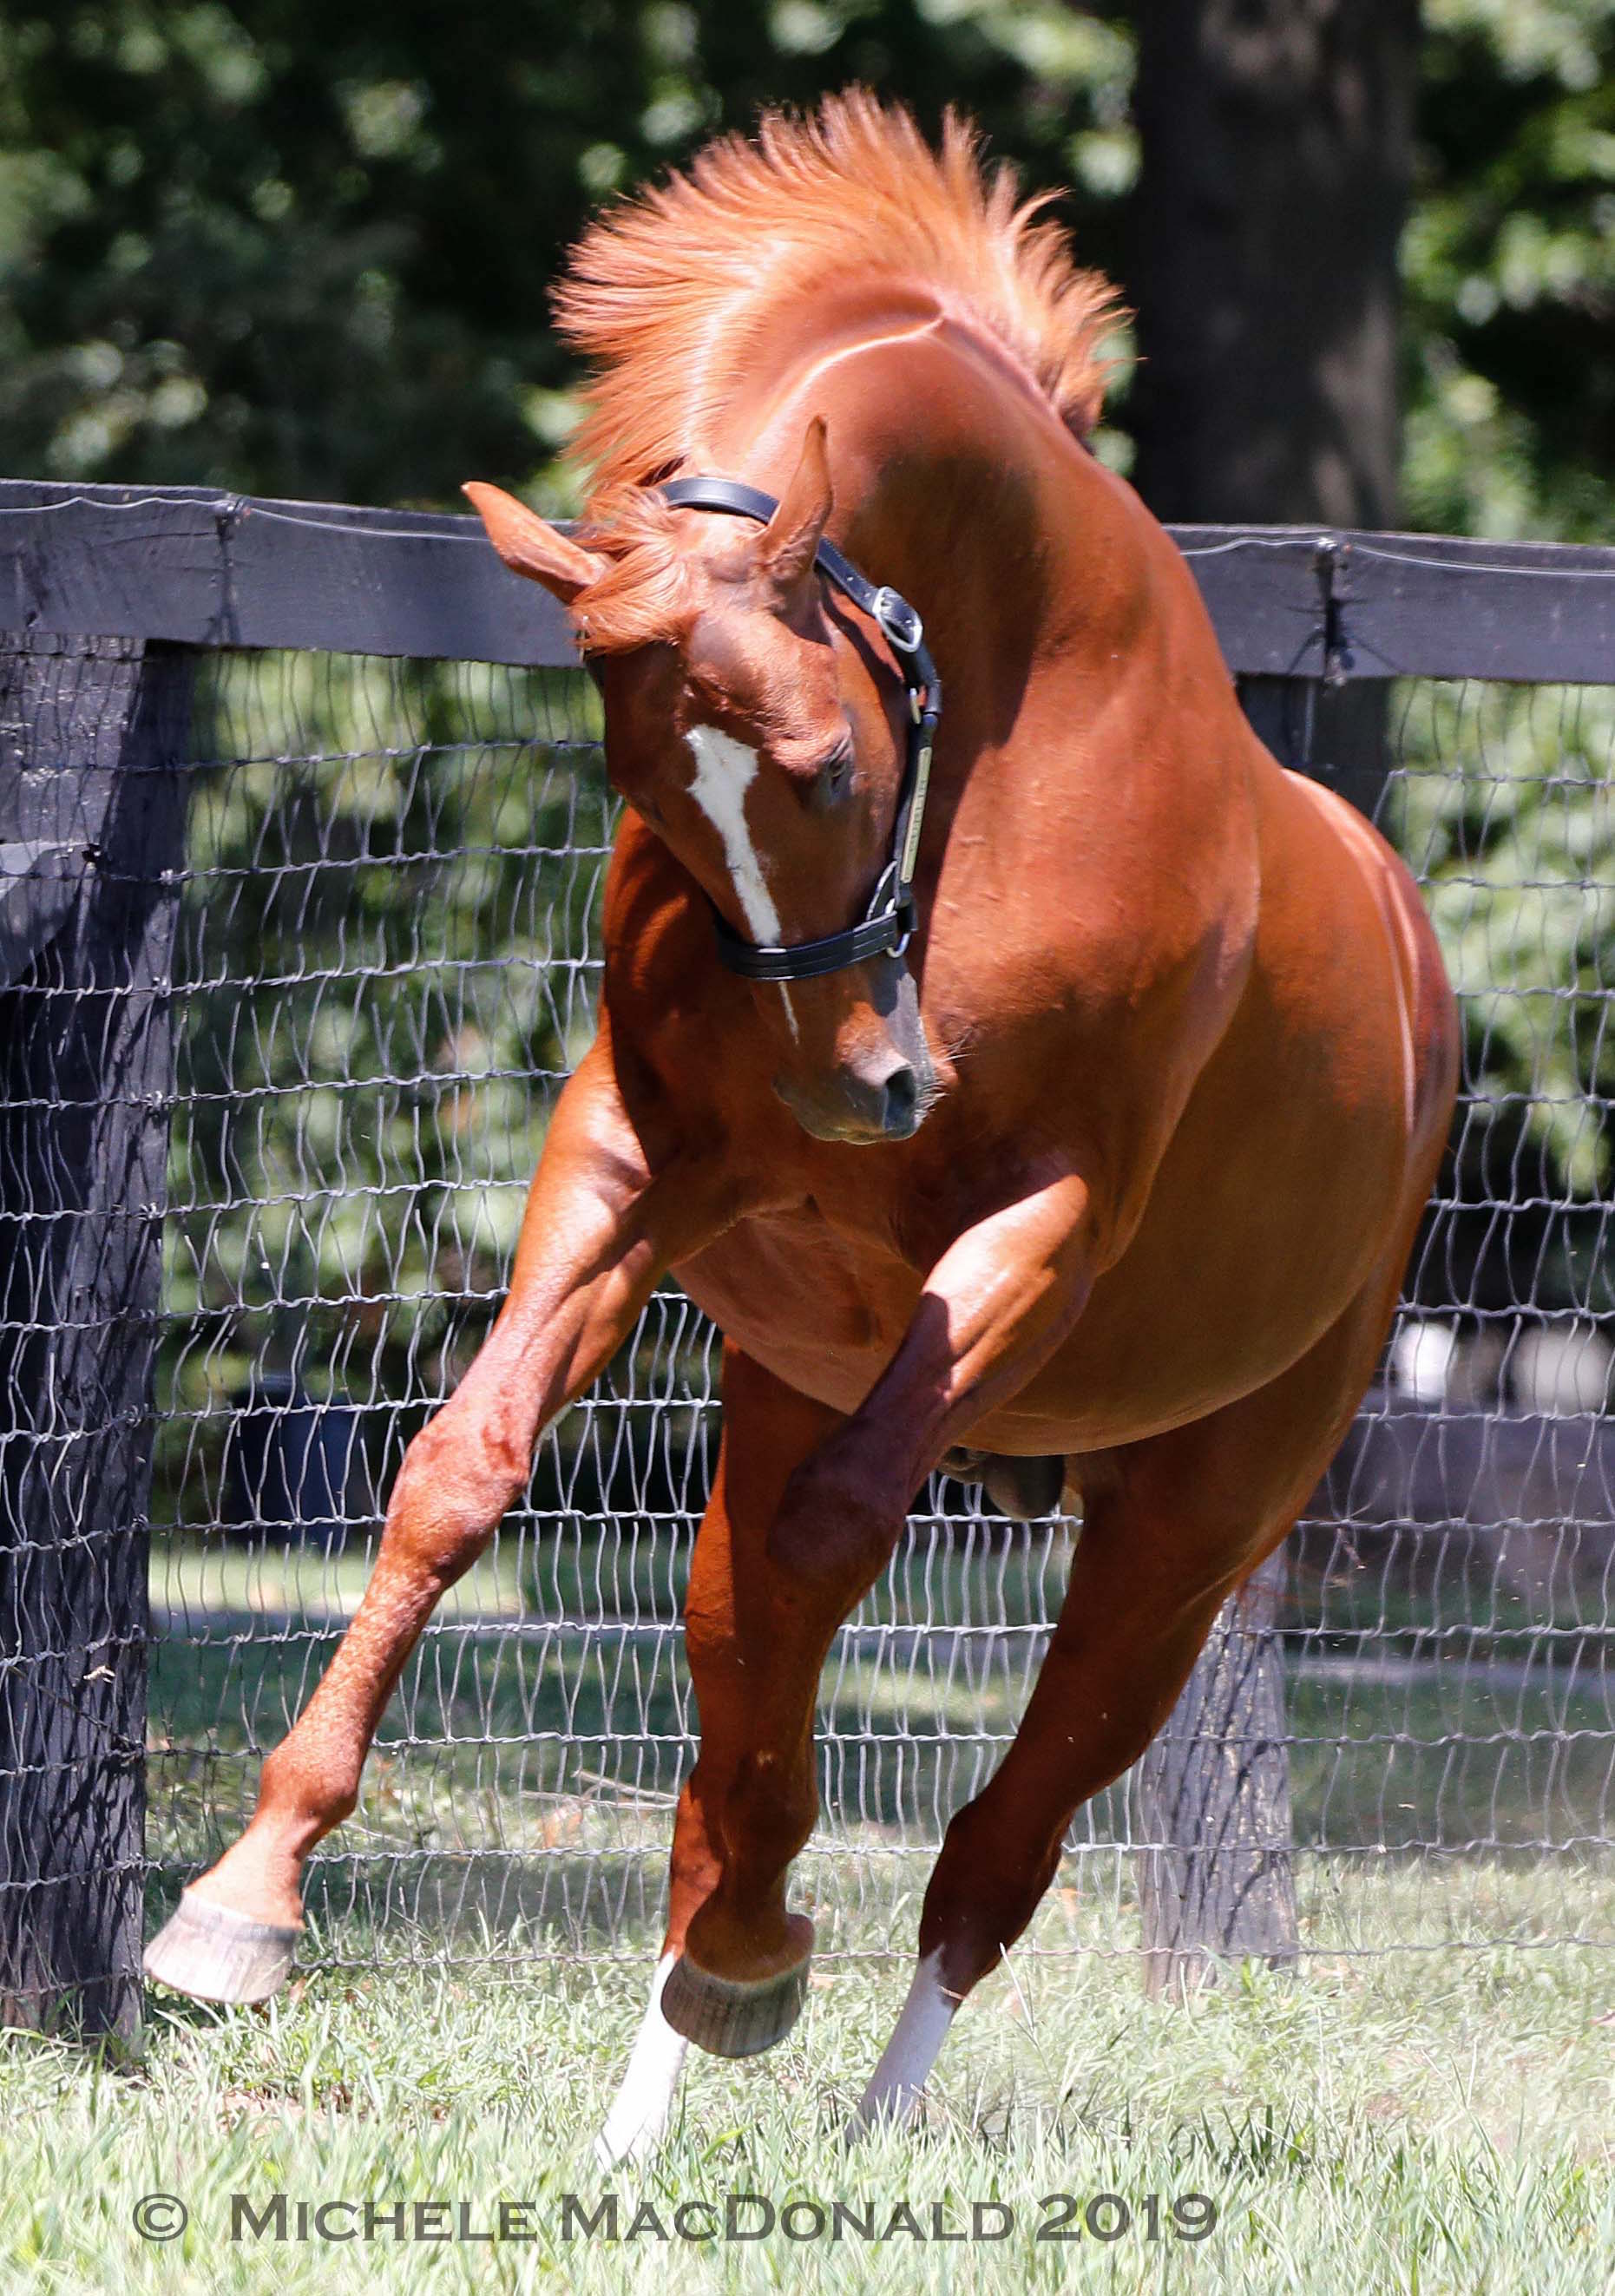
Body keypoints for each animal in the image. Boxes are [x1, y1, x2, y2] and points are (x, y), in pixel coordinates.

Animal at [148, 98, 1470, 2158]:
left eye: (835, 766)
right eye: (642, 778)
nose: (864, 1090)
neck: (1017, 716)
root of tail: (1414, 975)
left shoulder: (1044, 1219)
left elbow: (838, 1538)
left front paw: (765, 1936)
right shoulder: (638, 1158)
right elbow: (462, 1469)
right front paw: (241, 1901)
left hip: (1188, 1532)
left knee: (996, 1840)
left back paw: (848, 2091)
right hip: (786, 1378)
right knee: (735, 1653)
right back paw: (670, 2064)